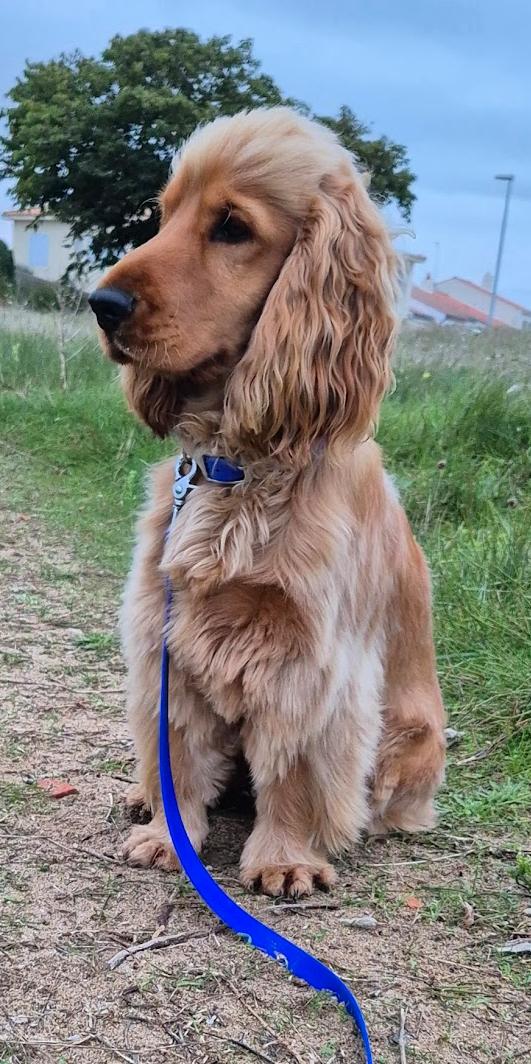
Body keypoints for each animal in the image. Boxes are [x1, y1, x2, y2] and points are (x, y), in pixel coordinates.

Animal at [89, 108, 446, 898]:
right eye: (162, 214)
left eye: (231, 227)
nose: (102, 305)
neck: (237, 467)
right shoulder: (167, 629)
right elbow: (179, 751)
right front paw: (166, 835)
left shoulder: (310, 661)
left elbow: (295, 769)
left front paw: (285, 858)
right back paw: (138, 794)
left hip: (413, 741)